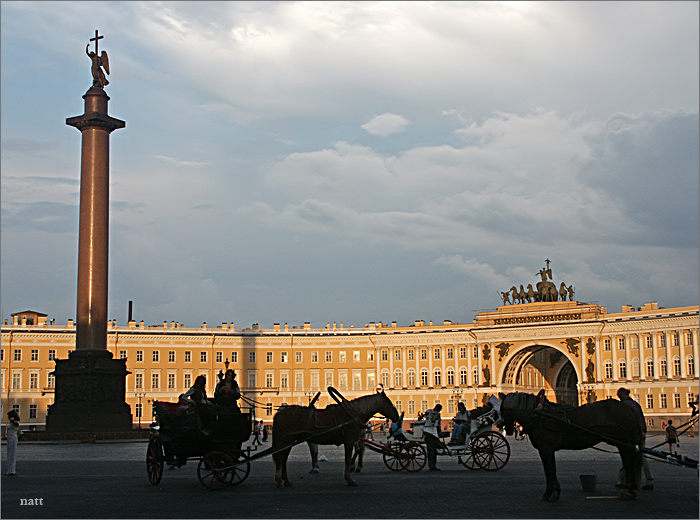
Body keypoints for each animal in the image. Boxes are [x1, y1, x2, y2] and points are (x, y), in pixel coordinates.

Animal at [500, 392, 644, 502]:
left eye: (502, 410)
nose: (506, 429)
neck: (539, 415)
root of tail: (630, 409)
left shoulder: (546, 448)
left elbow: (550, 470)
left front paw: (553, 494)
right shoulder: (544, 449)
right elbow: (548, 471)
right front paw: (549, 493)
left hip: (624, 444)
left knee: (629, 465)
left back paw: (627, 491)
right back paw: (631, 491)